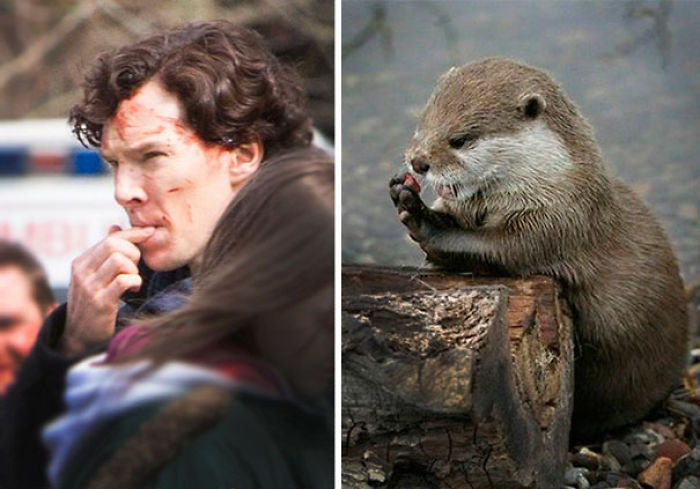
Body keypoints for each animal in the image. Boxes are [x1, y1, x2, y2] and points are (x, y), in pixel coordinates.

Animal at [389, 58, 688, 440]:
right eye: (422, 123)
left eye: (460, 139)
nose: (418, 162)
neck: (553, 180)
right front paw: (401, 192)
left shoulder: (558, 223)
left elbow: (498, 250)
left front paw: (423, 218)